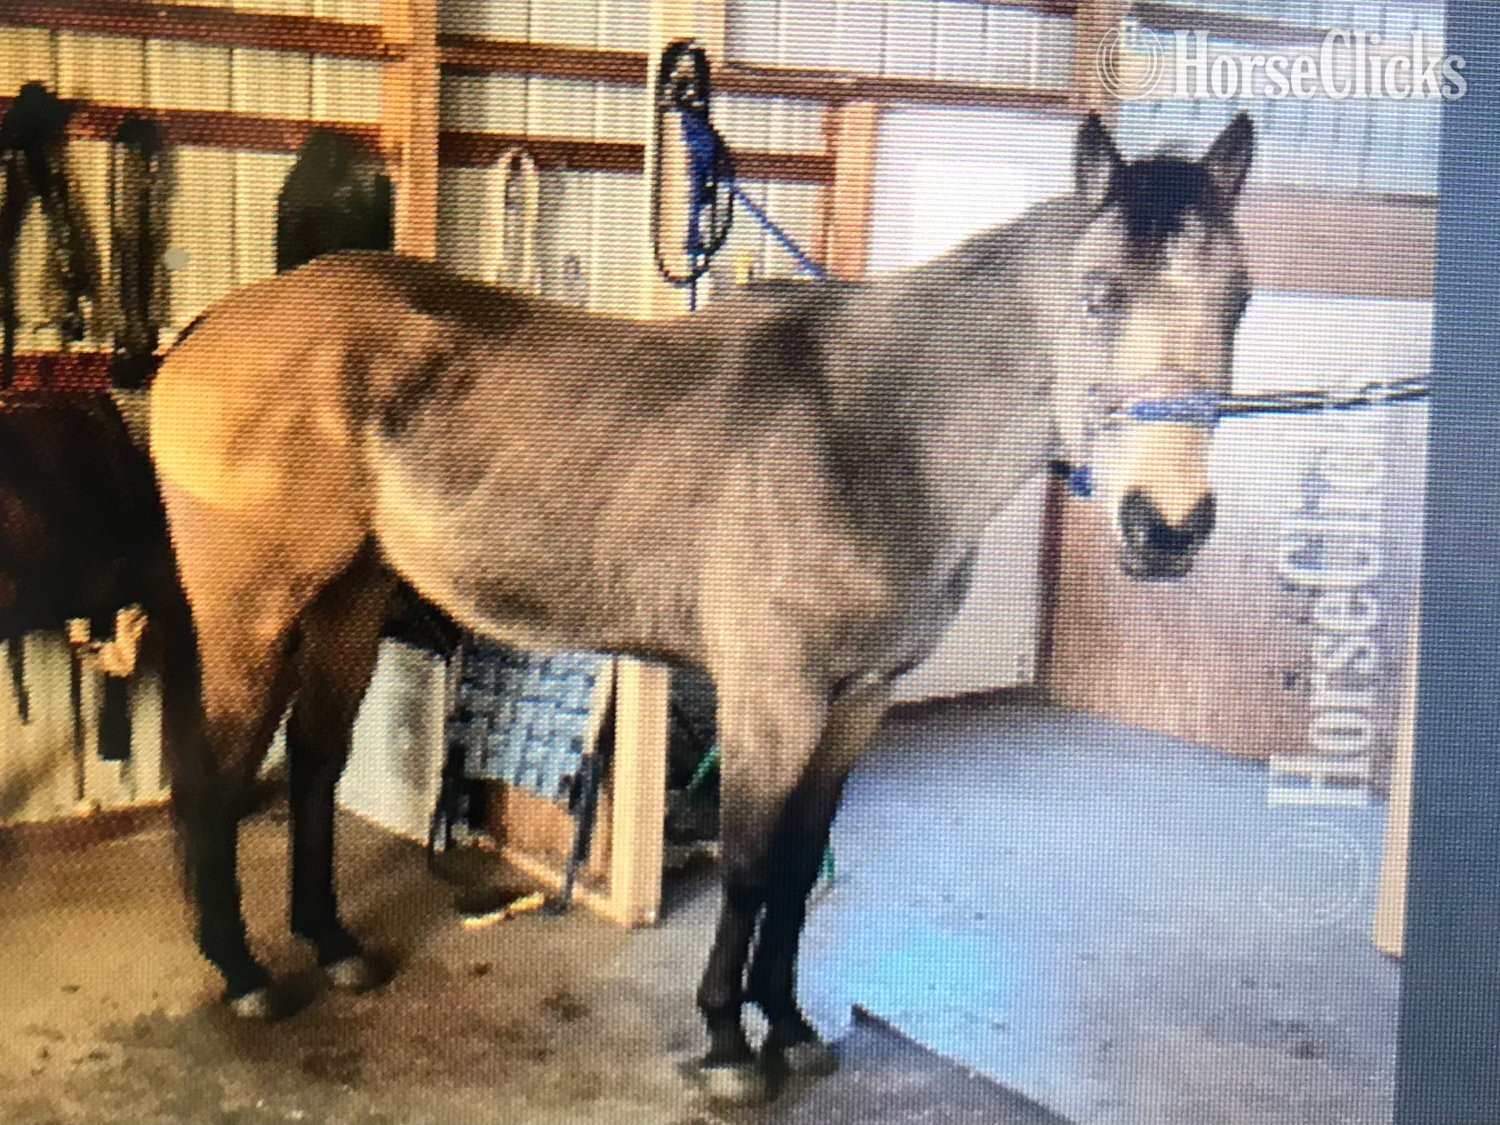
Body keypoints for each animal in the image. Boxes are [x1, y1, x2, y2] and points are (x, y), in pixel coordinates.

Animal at [146, 110, 1254, 1106]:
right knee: (217, 775)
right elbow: (753, 863)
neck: (868, 431)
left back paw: (333, 946)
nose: (1167, 528)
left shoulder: (857, 702)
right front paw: (728, 1041)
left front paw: (793, 1027)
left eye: (1240, 299)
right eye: (1098, 296)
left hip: (350, 599)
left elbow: (800, 864)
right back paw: (244, 974)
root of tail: (210, 331)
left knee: (316, 760)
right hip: (250, 612)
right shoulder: (772, 698)